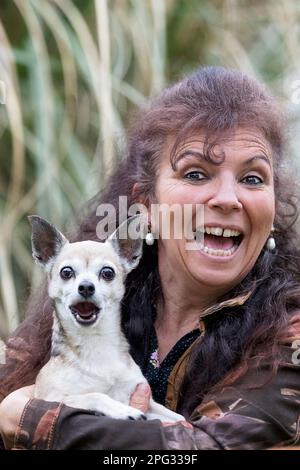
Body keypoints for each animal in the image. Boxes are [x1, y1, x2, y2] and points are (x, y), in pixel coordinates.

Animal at [29, 214, 185, 422]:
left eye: (107, 273)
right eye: (66, 272)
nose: (86, 287)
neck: (96, 343)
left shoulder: (146, 401)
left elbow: (179, 419)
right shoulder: (52, 399)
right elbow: (95, 395)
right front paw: (124, 410)